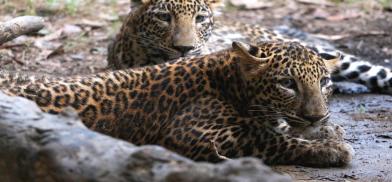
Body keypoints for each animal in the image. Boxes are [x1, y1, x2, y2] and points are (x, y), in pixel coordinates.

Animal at [0, 41, 354, 168]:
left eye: (325, 82)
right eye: (287, 84)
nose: (317, 116)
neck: (232, 82)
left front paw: (327, 132)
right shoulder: (194, 132)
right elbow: (268, 138)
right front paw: (330, 148)